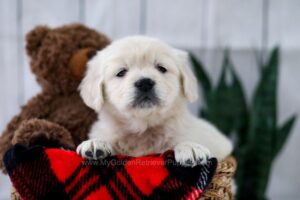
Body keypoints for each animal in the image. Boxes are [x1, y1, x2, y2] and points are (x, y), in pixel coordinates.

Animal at [77, 36, 232, 167]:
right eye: (121, 72)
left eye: (161, 68)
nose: (145, 83)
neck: (143, 128)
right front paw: (95, 144)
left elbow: (182, 141)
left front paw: (190, 147)